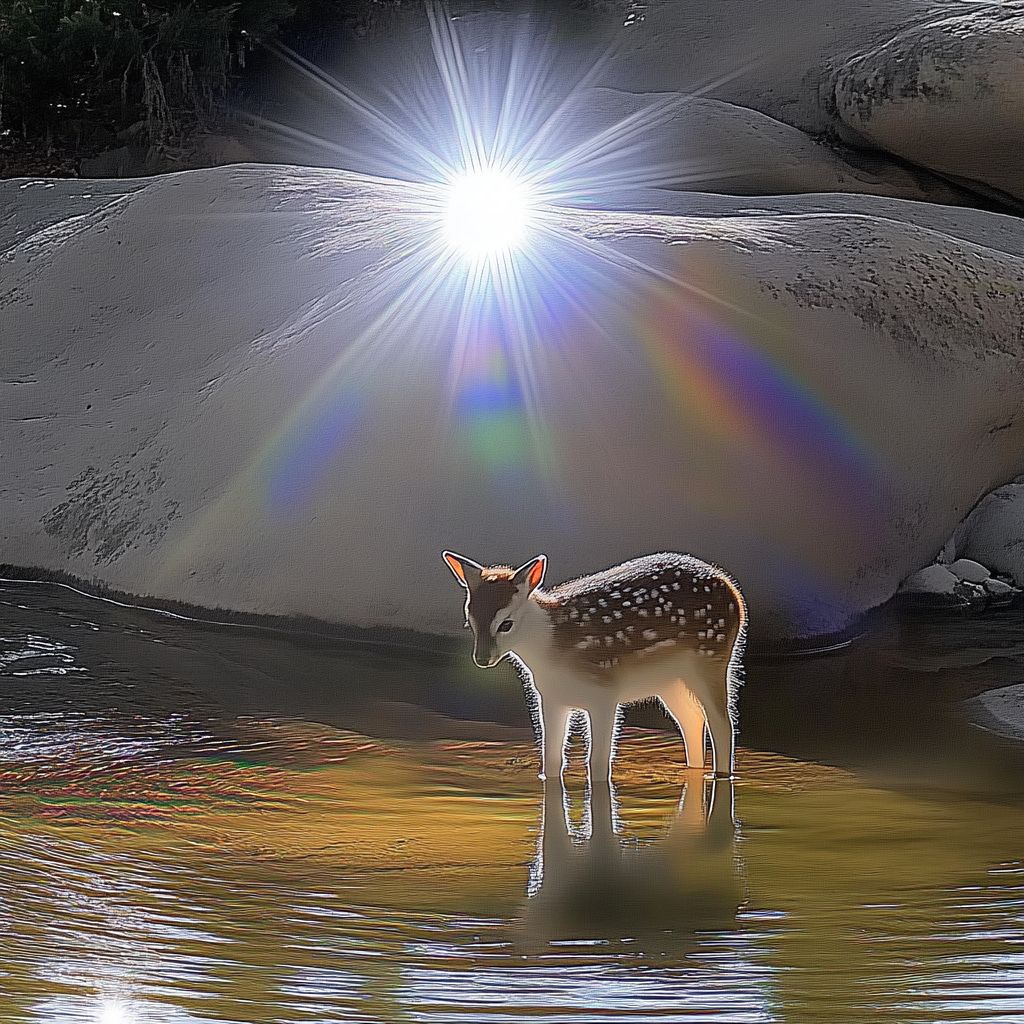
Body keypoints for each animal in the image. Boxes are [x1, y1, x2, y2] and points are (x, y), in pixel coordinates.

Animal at [442, 551, 746, 780]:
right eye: (469, 620)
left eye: (506, 624)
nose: (482, 658)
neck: (552, 648)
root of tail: (733, 591)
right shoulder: (551, 698)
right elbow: (552, 759)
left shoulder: (604, 691)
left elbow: (598, 763)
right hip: (669, 681)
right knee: (692, 721)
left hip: (712, 658)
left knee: (723, 725)